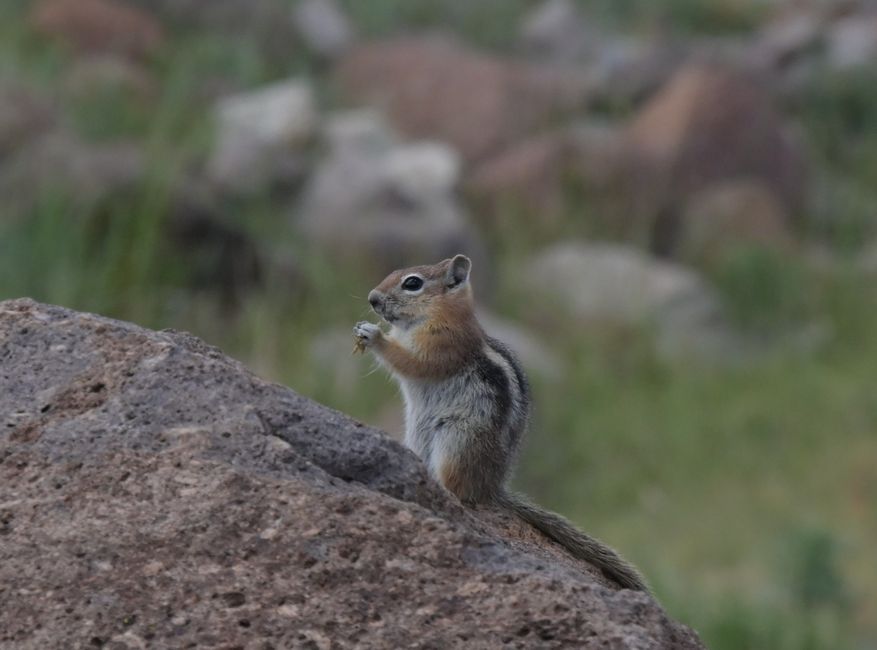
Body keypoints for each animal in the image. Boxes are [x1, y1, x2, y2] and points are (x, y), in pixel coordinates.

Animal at [353, 254, 649, 592]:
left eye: (412, 283)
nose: (372, 299)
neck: (436, 316)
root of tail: (491, 486)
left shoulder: (443, 345)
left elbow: (413, 363)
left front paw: (374, 336)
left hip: (457, 442)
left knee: (459, 491)